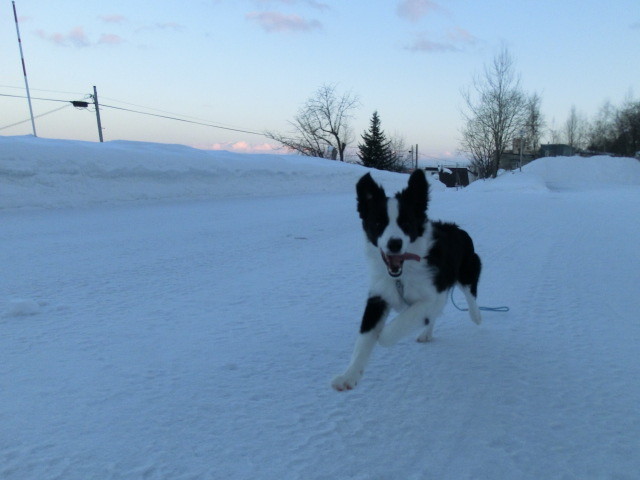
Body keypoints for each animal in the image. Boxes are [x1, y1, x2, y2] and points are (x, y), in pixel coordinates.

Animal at [332, 171, 482, 392]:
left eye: (406, 224)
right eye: (378, 224)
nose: (394, 243)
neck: (401, 277)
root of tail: (457, 228)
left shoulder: (431, 295)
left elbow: (399, 325)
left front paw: (383, 335)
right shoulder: (379, 295)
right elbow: (364, 337)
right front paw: (349, 376)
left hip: (468, 269)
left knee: (470, 294)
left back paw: (476, 315)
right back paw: (426, 333)